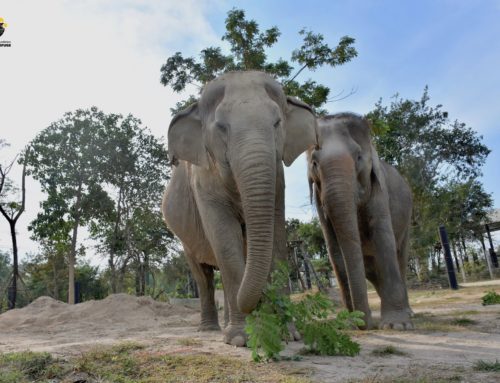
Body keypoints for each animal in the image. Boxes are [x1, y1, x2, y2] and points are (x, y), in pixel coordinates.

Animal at [162, 70, 316, 346]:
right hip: (184, 241)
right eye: (221, 127)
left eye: (277, 122)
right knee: (203, 276)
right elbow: (225, 240)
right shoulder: (203, 182)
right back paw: (210, 330)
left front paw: (288, 334)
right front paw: (240, 339)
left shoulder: (277, 178)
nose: (262, 305)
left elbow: (277, 238)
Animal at [308, 113, 414, 330]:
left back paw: (408, 314)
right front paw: (349, 324)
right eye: (314, 163)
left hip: (407, 218)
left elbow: (383, 238)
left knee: (400, 256)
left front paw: (397, 326)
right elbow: (334, 250)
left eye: (358, 157)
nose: (363, 325)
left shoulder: (379, 191)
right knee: (371, 268)